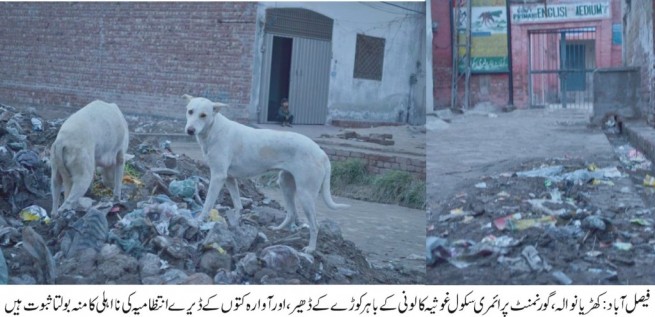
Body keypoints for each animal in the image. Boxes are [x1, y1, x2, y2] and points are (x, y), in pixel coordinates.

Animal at [184, 94, 348, 252]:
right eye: (190, 111)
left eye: (203, 115)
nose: (190, 131)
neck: (213, 129)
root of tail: (321, 152)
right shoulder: (229, 178)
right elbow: (238, 205)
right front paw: (235, 226)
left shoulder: (218, 177)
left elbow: (207, 203)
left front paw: (198, 221)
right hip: (285, 184)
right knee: (291, 213)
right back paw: (278, 229)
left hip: (305, 194)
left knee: (315, 225)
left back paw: (311, 249)